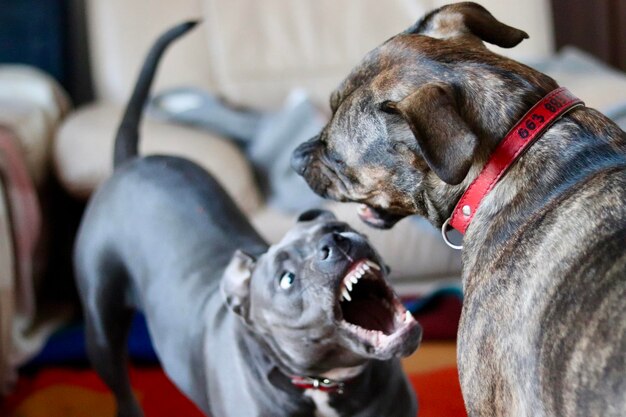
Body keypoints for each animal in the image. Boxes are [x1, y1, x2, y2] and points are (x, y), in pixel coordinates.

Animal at [75, 20, 422, 416]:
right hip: (101, 327)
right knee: (120, 384)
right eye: (286, 280)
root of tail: (130, 163)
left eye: (338, 227)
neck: (324, 385)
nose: (333, 245)